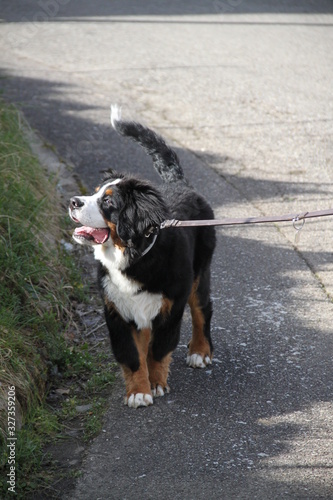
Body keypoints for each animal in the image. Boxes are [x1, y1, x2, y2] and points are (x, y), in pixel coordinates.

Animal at [68, 107, 217, 408]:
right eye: (94, 192)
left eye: (108, 201)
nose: (73, 202)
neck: (133, 258)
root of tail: (181, 185)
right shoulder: (116, 309)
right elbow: (132, 355)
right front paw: (138, 390)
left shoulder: (171, 306)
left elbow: (158, 350)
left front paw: (156, 384)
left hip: (199, 273)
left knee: (202, 308)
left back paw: (200, 350)